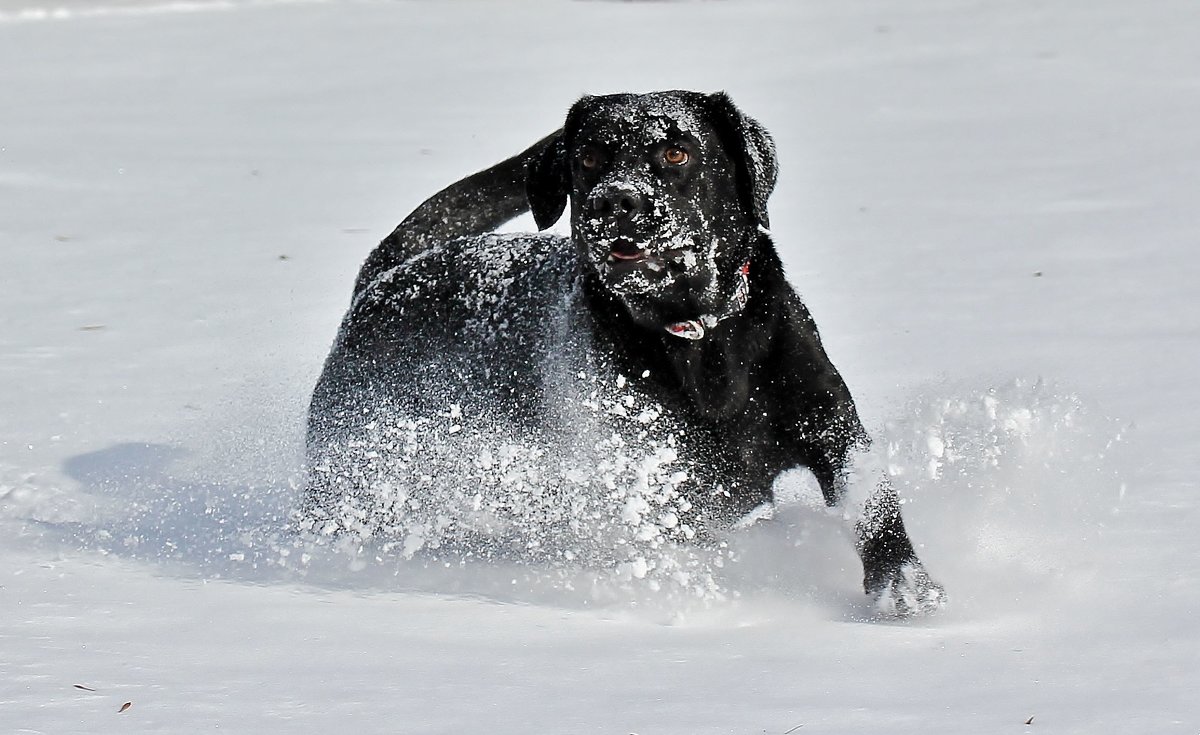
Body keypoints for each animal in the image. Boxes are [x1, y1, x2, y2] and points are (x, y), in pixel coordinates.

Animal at [307, 87, 945, 614]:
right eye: (589, 158)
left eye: (677, 153)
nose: (615, 201)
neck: (697, 336)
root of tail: (387, 275)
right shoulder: (660, 480)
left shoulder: (828, 422)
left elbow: (872, 501)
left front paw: (903, 583)